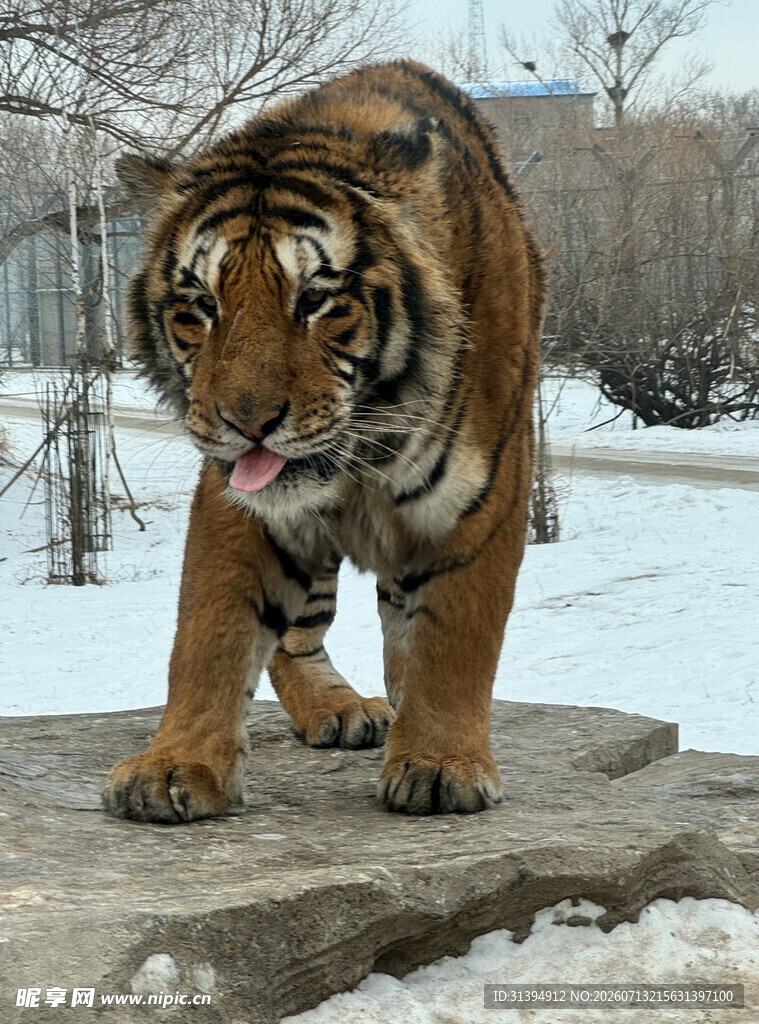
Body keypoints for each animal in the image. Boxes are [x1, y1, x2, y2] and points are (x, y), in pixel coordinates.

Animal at [102, 59, 544, 823]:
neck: (362, 453)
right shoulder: (238, 505)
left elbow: (454, 639)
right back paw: (338, 709)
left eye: (315, 300)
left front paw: (440, 764)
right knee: (295, 637)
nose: (247, 421)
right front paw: (174, 766)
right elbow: (209, 635)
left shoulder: (480, 504)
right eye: (201, 307)